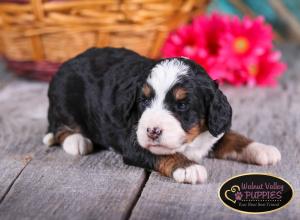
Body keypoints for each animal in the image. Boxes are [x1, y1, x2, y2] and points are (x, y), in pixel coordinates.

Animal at [42, 47, 282, 184]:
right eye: (144, 101)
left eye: (182, 105)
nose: (152, 131)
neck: (190, 143)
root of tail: (69, 61)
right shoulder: (134, 143)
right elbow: (164, 154)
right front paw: (189, 168)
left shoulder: (213, 130)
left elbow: (232, 136)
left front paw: (262, 149)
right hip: (63, 96)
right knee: (59, 127)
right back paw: (77, 141)